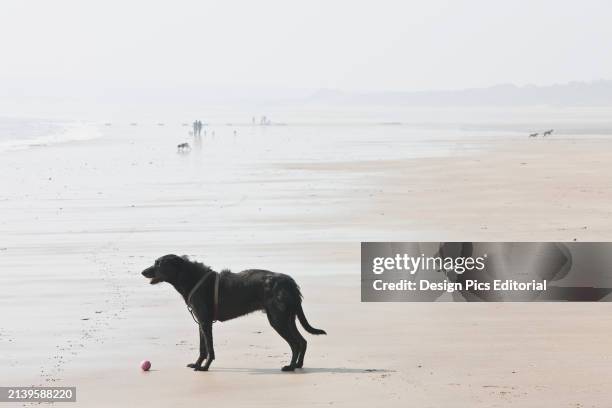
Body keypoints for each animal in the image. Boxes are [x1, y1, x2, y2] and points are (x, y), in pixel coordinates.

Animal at [142, 255, 328, 372]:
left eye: (158, 263)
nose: (143, 272)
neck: (190, 277)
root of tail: (290, 282)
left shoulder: (205, 322)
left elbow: (209, 349)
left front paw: (205, 367)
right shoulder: (201, 322)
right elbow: (202, 348)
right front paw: (196, 364)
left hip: (278, 319)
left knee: (295, 343)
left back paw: (290, 367)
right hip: (288, 318)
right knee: (302, 341)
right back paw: (298, 365)